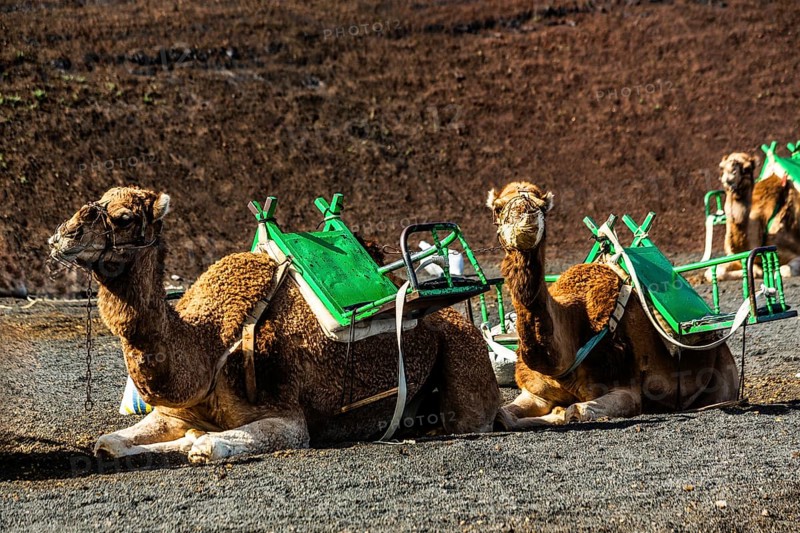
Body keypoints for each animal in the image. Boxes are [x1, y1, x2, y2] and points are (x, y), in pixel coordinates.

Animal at [48, 186, 500, 463]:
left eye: (123, 217)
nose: (61, 236)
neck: (209, 345)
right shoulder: (177, 411)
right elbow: (107, 443)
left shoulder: (290, 418)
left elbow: (206, 446)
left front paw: (197, 444)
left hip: (465, 365)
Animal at [487, 181, 739, 429]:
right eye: (498, 207)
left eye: (542, 207)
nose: (526, 218)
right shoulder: (535, 393)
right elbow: (503, 416)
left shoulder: (627, 390)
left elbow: (574, 411)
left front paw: (559, 412)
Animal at [710, 152, 800, 281]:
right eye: (722, 167)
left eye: (747, 168)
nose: (729, 177)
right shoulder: (734, 257)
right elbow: (712, 272)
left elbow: (784, 270)